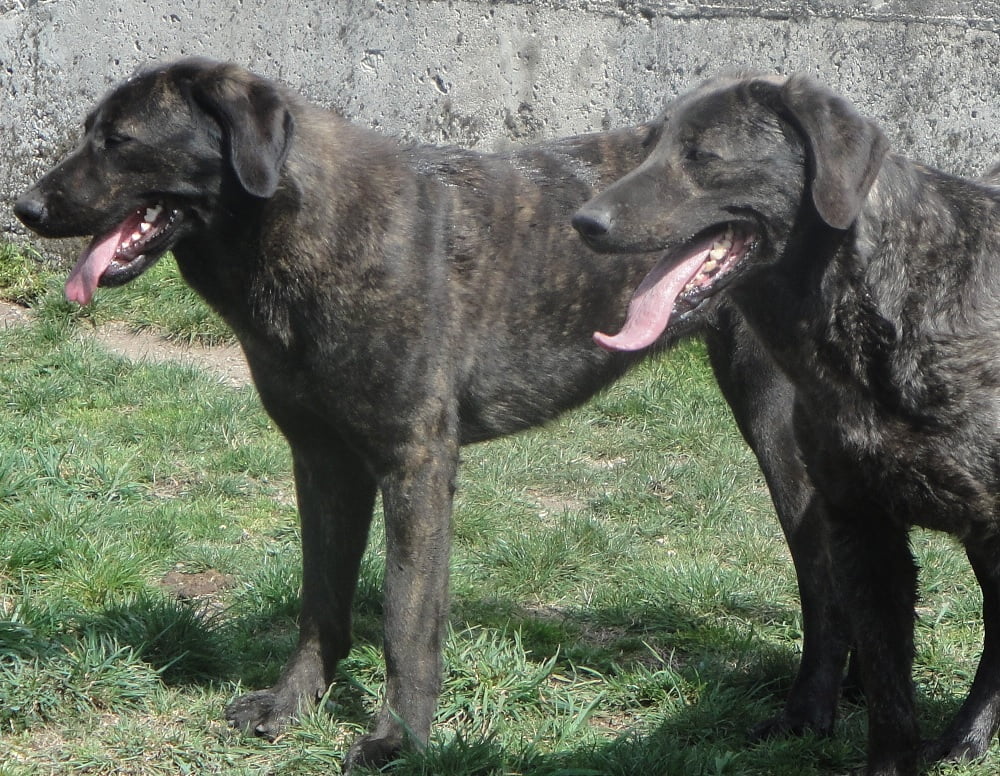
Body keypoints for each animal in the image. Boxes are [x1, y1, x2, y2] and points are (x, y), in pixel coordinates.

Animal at [17, 59, 844, 768]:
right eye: (89, 130)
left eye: (120, 141)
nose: (24, 206)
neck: (301, 228)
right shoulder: (322, 463)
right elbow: (321, 601)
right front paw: (292, 704)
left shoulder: (413, 464)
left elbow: (405, 619)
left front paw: (398, 740)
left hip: (780, 436)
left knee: (823, 578)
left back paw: (809, 714)